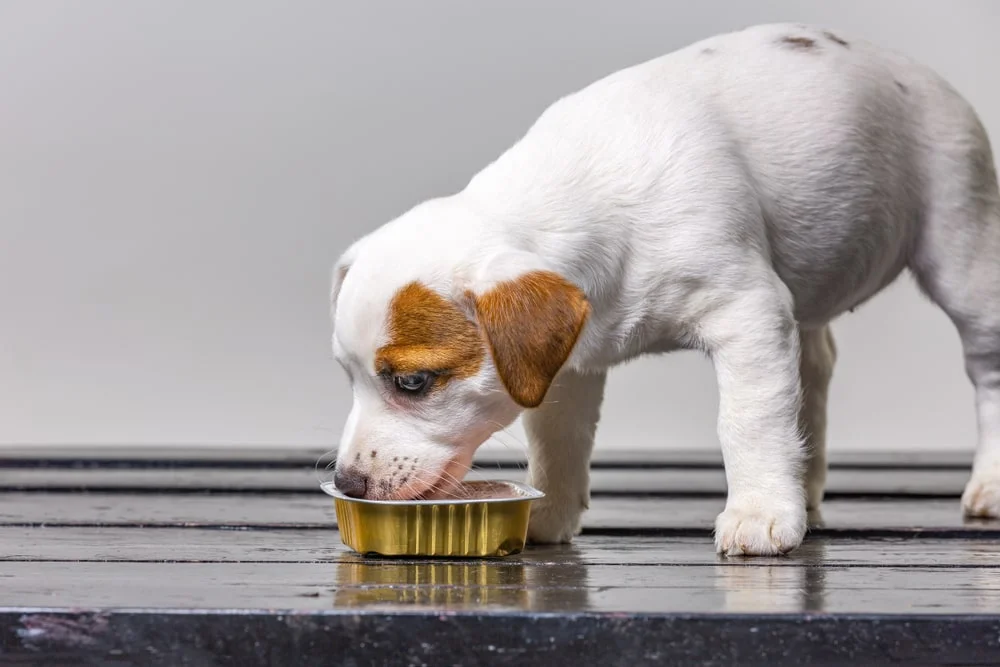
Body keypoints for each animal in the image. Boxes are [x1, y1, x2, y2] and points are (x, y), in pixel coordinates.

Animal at [328, 24, 1000, 560]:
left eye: (414, 382)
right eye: (348, 377)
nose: (350, 484)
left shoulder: (748, 315)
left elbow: (749, 420)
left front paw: (759, 511)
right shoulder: (567, 365)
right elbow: (560, 440)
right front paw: (548, 514)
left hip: (962, 249)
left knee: (986, 368)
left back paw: (987, 483)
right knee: (813, 369)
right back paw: (803, 485)